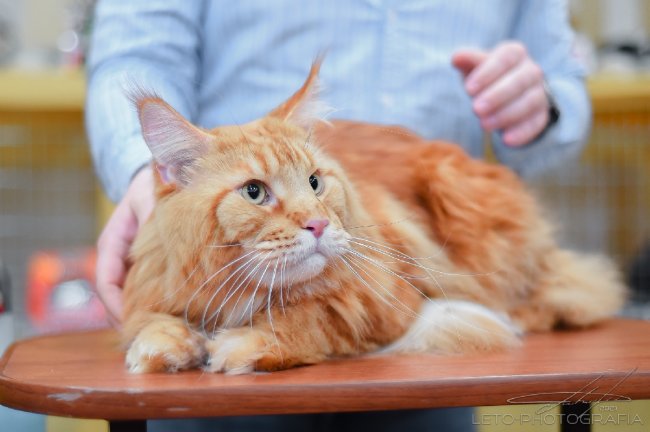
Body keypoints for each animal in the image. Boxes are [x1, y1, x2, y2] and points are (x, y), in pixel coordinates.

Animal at [122, 61, 626, 374]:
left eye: (314, 183)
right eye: (254, 192)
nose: (318, 224)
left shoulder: (386, 301)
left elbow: (306, 319)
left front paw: (242, 344)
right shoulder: (154, 288)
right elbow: (150, 323)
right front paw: (163, 346)